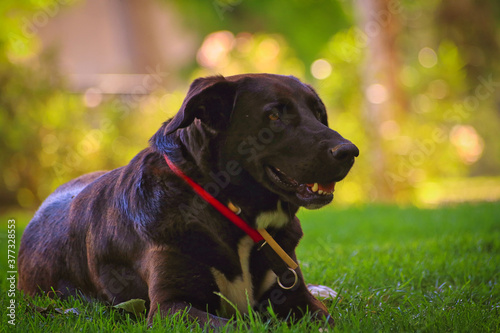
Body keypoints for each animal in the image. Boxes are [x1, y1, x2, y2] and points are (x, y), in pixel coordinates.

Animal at [17, 73, 358, 326]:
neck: (231, 211)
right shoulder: (171, 308)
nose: (349, 151)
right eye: (274, 115)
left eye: (318, 113)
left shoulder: (296, 297)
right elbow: (237, 326)